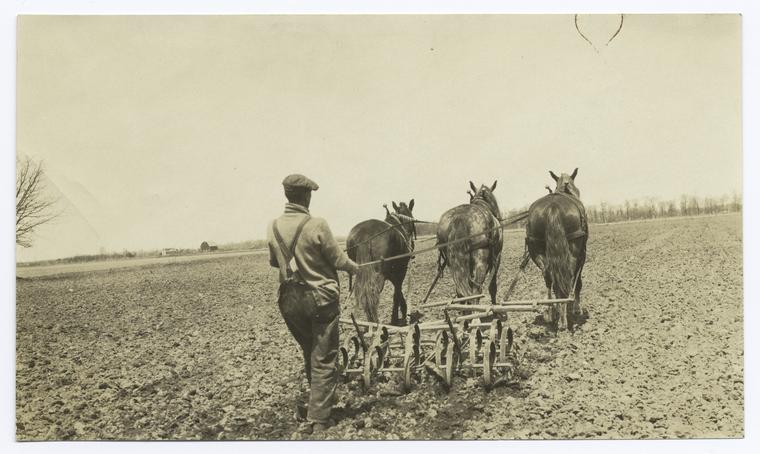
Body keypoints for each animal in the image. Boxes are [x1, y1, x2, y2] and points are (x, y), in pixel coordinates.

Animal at [525, 168, 588, 330]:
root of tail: (553, 207)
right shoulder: (582, 255)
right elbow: (578, 282)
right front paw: (577, 308)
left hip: (536, 249)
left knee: (549, 275)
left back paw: (552, 311)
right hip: (573, 250)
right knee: (568, 276)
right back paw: (564, 318)